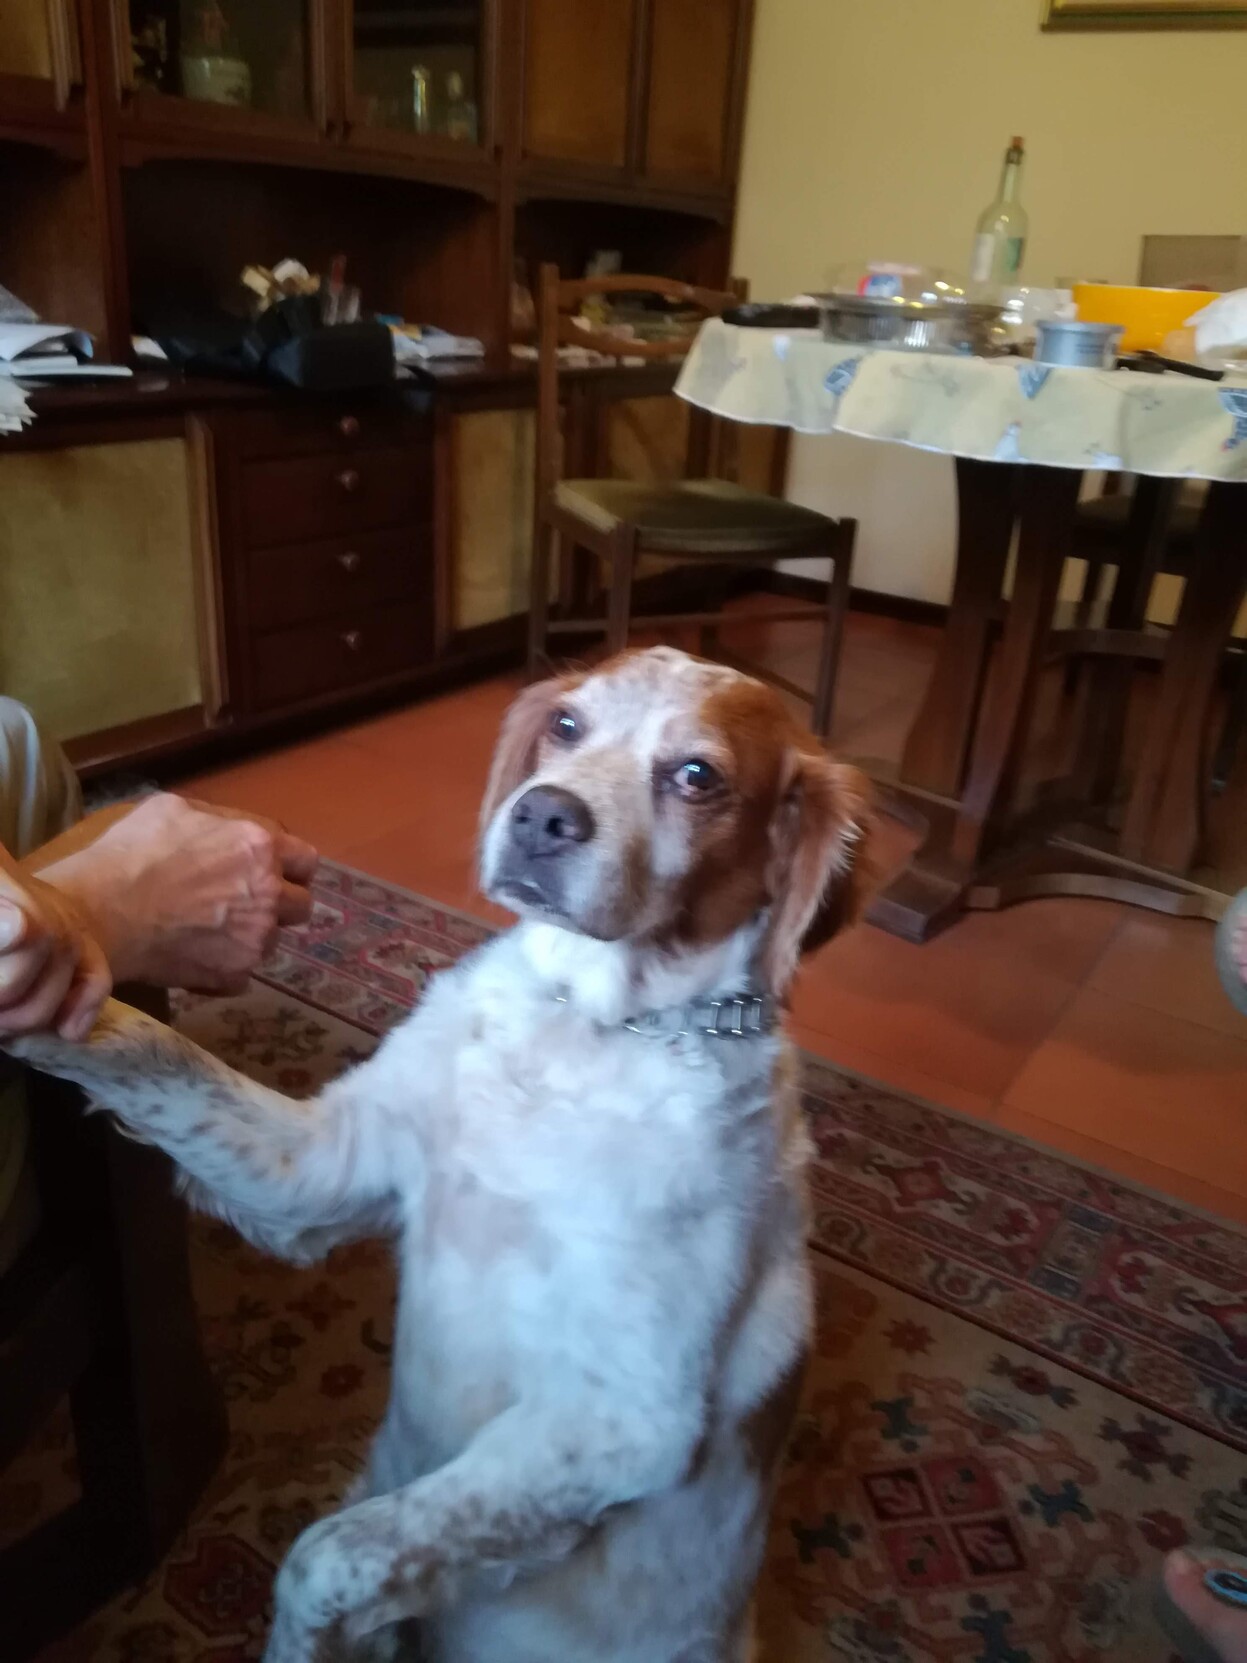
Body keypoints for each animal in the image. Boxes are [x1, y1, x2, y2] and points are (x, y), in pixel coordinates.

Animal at [7, 647, 871, 1663]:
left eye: (697, 775)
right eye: (566, 725)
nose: (542, 815)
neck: (583, 1030)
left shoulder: (625, 1415)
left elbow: (326, 1554)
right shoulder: (317, 1167)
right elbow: (143, 1048)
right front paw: (26, 942)